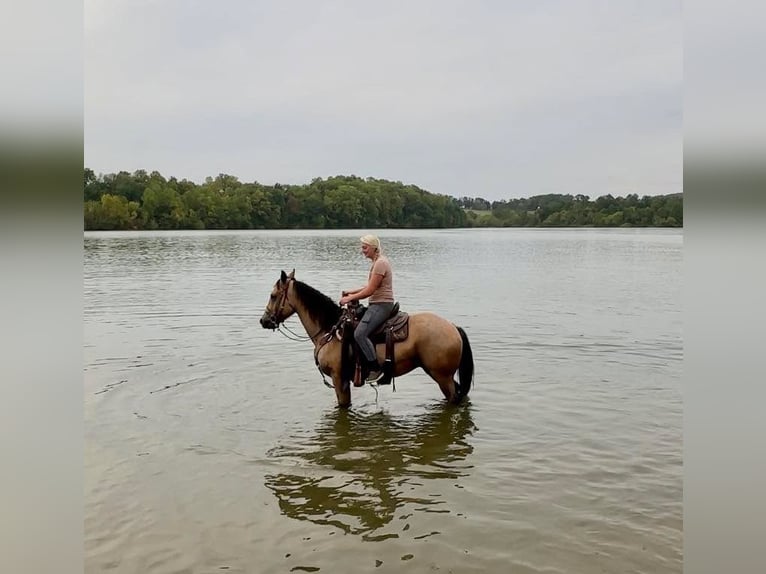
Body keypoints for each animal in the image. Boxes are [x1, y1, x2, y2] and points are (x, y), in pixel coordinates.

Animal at [260, 272, 474, 410]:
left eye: (273, 295)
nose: (264, 321)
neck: (330, 329)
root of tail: (453, 327)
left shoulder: (339, 379)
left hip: (442, 376)